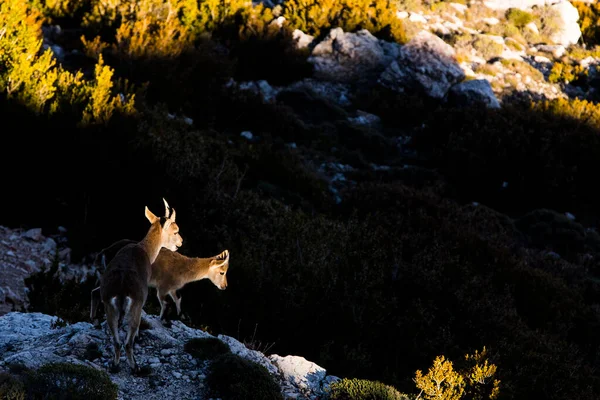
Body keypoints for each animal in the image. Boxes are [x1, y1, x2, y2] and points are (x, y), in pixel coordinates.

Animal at [91, 239, 230, 324]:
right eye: (222, 272)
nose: (224, 286)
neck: (183, 268)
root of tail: (104, 252)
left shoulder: (173, 288)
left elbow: (178, 299)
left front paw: (181, 316)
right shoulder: (163, 286)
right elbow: (165, 302)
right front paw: (165, 320)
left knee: (95, 292)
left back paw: (95, 318)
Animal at [98, 198, 182, 374]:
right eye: (175, 230)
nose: (180, 242)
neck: (145, 250)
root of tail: (121, 290)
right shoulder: (142, 300)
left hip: (109, 306)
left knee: (116, 341)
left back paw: (114, 366)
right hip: (135, 305)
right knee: (128, 342)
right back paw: (136, 368)